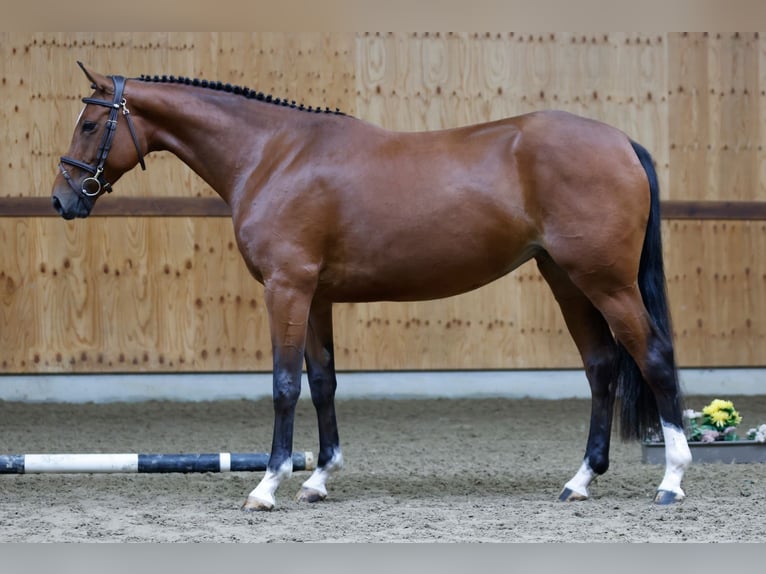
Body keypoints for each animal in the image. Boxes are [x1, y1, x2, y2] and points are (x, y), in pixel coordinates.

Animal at [51, 64, 692, 512]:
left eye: (90, 124)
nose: (62, 200)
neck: (273, 155)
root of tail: (622, 143)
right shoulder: (315, 297)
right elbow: (323, 382)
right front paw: (317, 478)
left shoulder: (286, 289)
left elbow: (285, 385)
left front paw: (267, 486)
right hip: (566, 279)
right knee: (602, 366)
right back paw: (580, 481)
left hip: (606, 282)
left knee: (654, 357)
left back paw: (672, 479)